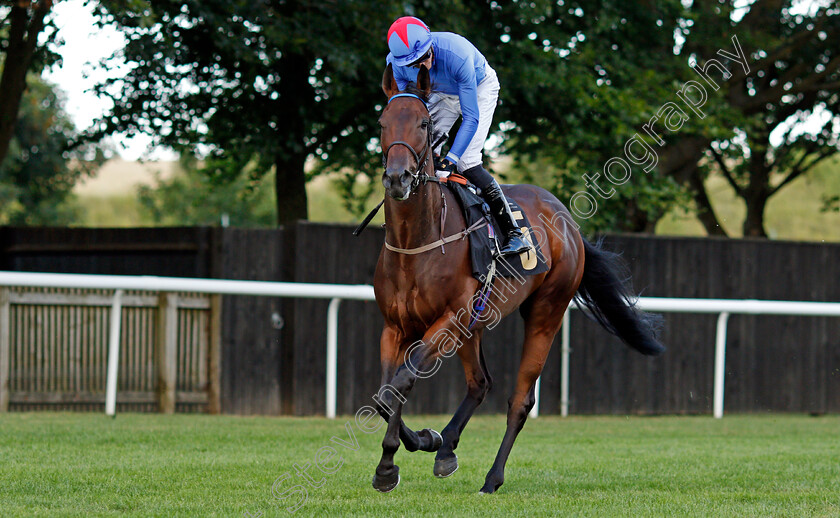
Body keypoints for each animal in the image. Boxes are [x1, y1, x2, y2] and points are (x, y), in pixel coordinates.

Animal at [370, 63, 668, 498]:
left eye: (424, 124)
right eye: (382, 122)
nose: (397, 178)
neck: (419, 242)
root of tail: (569, 223)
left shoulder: (448, 319)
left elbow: (401, 383)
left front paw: (397, 457)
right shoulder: (395, 326)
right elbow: (387, 392)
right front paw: (406, 452)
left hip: (545, 312)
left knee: (520, 400)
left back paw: (492, 478)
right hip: (476, 323)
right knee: (480, 383)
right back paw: (446, 447)